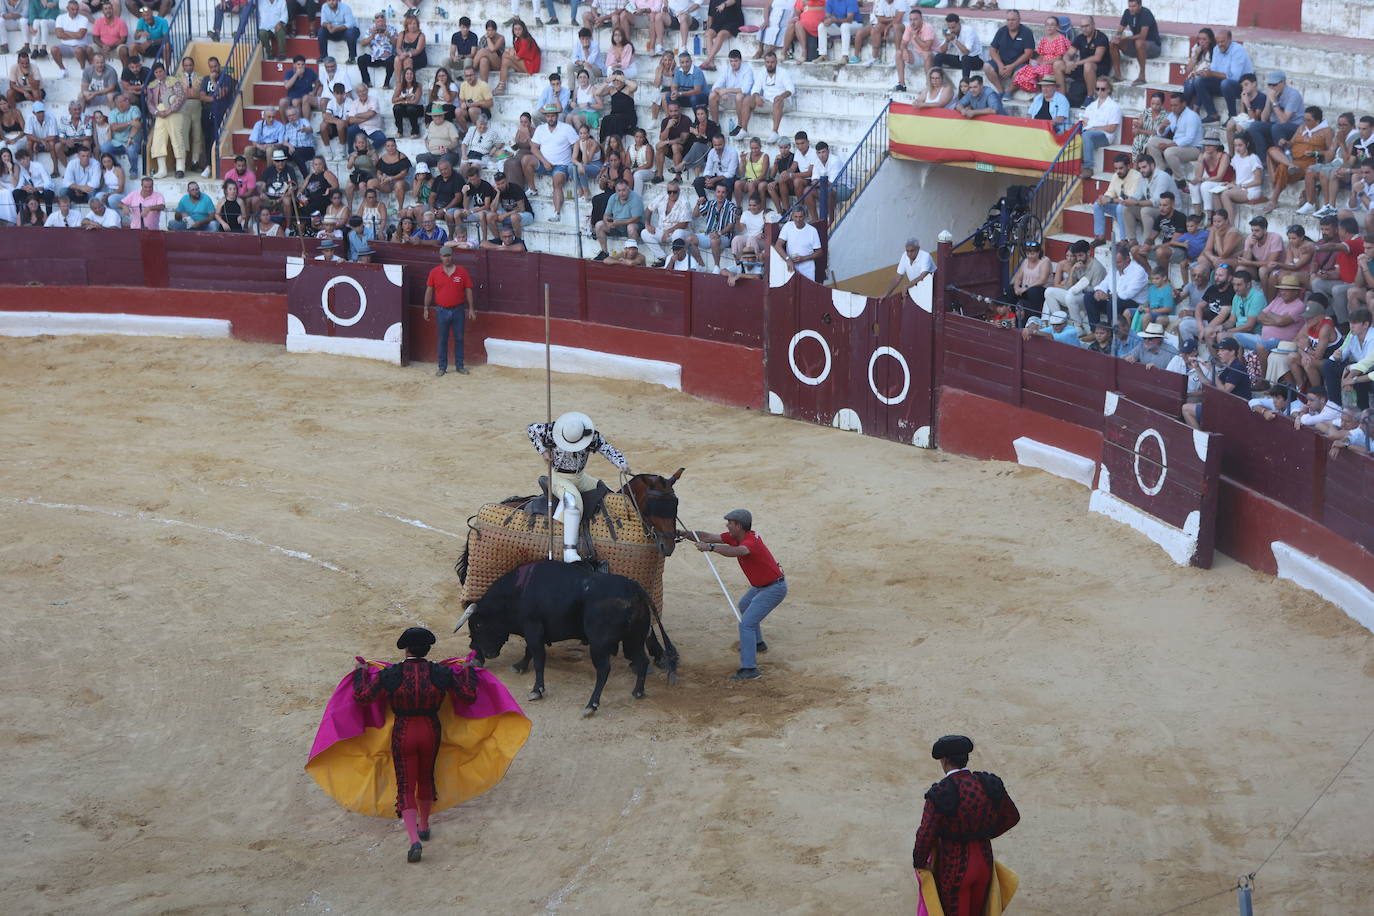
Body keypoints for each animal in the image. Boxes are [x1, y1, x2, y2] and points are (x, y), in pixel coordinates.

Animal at [456, 563, 681, 719]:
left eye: (478, 625)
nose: (474, 652)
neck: (520, 590)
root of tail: (634, 588)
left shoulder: (533, 627)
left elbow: (538, 658)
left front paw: (536, 690)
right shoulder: (534, 630)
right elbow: (530, 651)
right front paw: (519, 666)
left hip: (599, 644)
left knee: (603, 670)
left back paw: (591, 705)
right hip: (633, 639)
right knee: (642, 661)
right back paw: (637, 692)